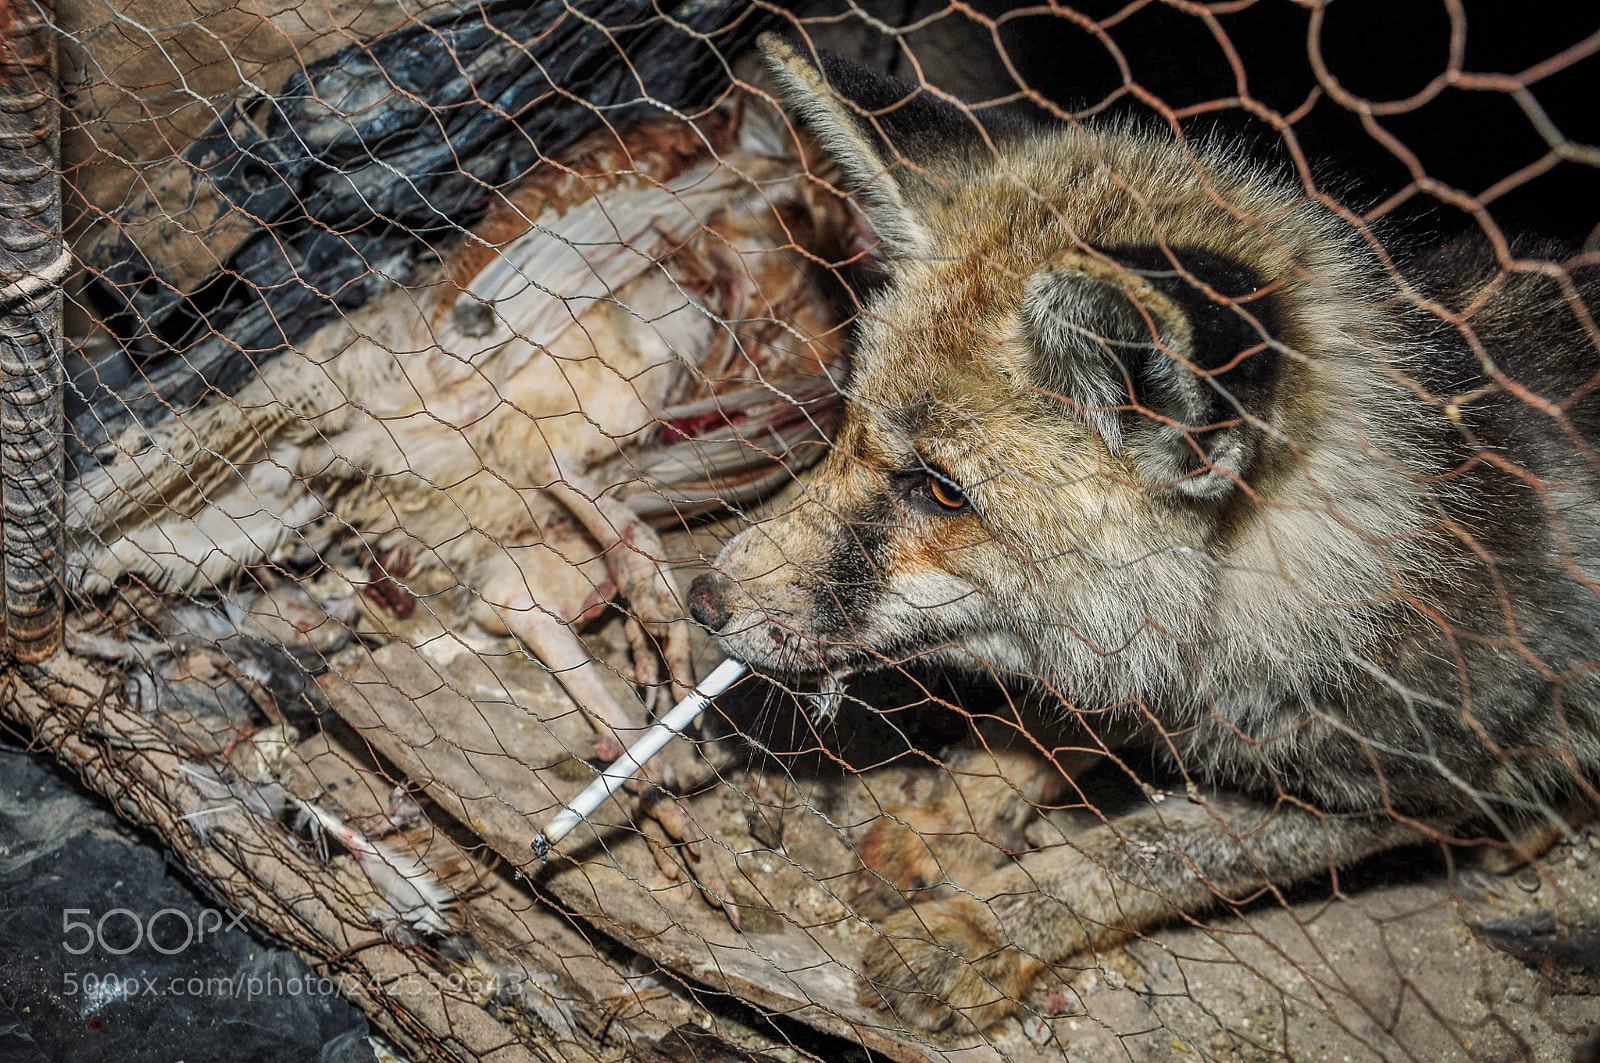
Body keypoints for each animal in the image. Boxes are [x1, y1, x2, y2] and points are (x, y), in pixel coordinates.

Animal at [687, 37, 1600, 1034]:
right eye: (847, 426)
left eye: (942, 490)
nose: (701, 597)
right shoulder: (1128, 646)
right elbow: (1049, 718)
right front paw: (955, 822)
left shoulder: (1390, 791)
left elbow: (1142, 853)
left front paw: (981, 926)